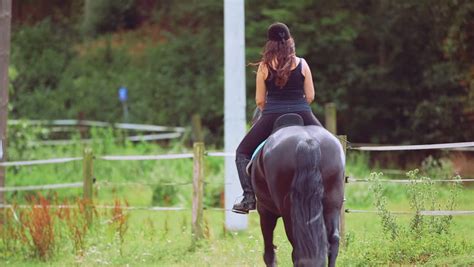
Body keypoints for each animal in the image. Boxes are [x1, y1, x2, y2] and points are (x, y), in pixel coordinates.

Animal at [252, 110, 344, 266]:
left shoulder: (265, 209)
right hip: (333, 203)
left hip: (287, 211)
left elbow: (269, 252)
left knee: (297, 249)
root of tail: (307, 141)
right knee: (333, 241)